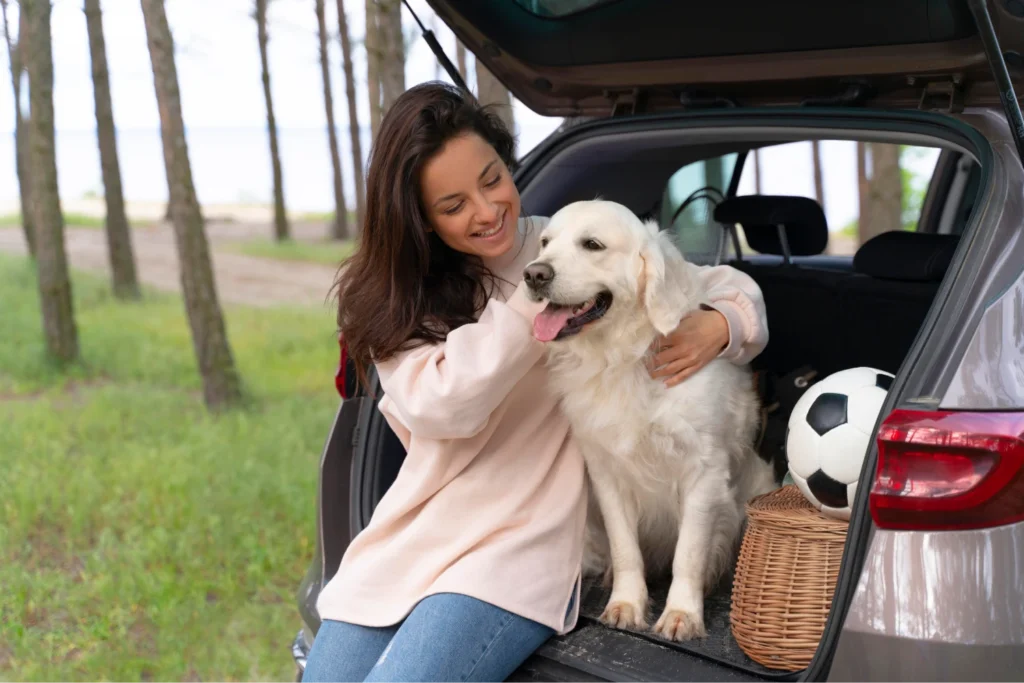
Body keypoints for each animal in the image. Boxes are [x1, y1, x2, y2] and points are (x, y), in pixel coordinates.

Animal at [524, 197, 770, 643]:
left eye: (592, 244)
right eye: (545, 243)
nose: (534, 273)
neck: (623, 357)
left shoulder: (703, 471)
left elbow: (688, 554)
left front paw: (682, 614)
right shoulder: (606, 472)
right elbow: (626, 549)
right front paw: (626, 604)